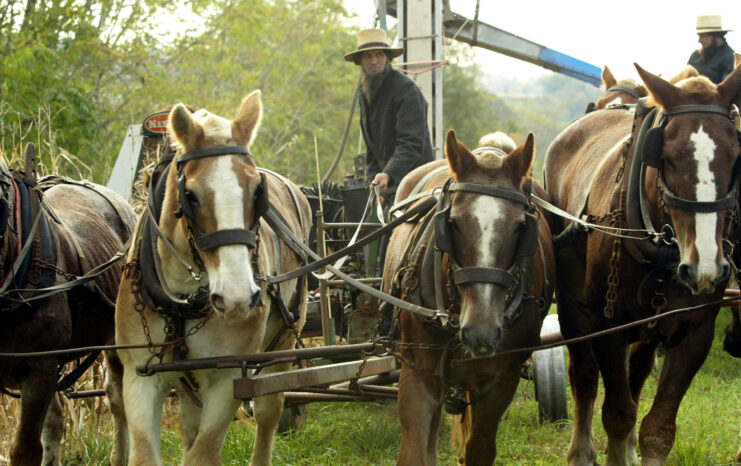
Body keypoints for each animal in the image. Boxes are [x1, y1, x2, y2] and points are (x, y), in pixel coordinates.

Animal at [107, 91, 310, 466]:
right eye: (190, 195)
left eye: (257, 192)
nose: (237, 298)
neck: (182, 301)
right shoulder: (140, 376)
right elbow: (146, 455)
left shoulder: (227, 378)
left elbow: (203, 454)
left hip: (283, 344)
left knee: (268, 412)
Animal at [384, 129, 552, 464]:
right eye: (453, 223)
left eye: (520, 227)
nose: (481, 331)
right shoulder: (418, 373)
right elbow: (414, 451)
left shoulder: (500, 382)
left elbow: (479, 450)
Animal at [540, 62, 740, 466]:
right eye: (668, 157)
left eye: (735, 158)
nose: (705, 269)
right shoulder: (608, 326)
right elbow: (617, 413)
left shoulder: (694, 332)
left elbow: (658, 428)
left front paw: (637, 445)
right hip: (573, 307)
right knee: (584, 377)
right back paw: (581, 451)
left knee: (638, 372)